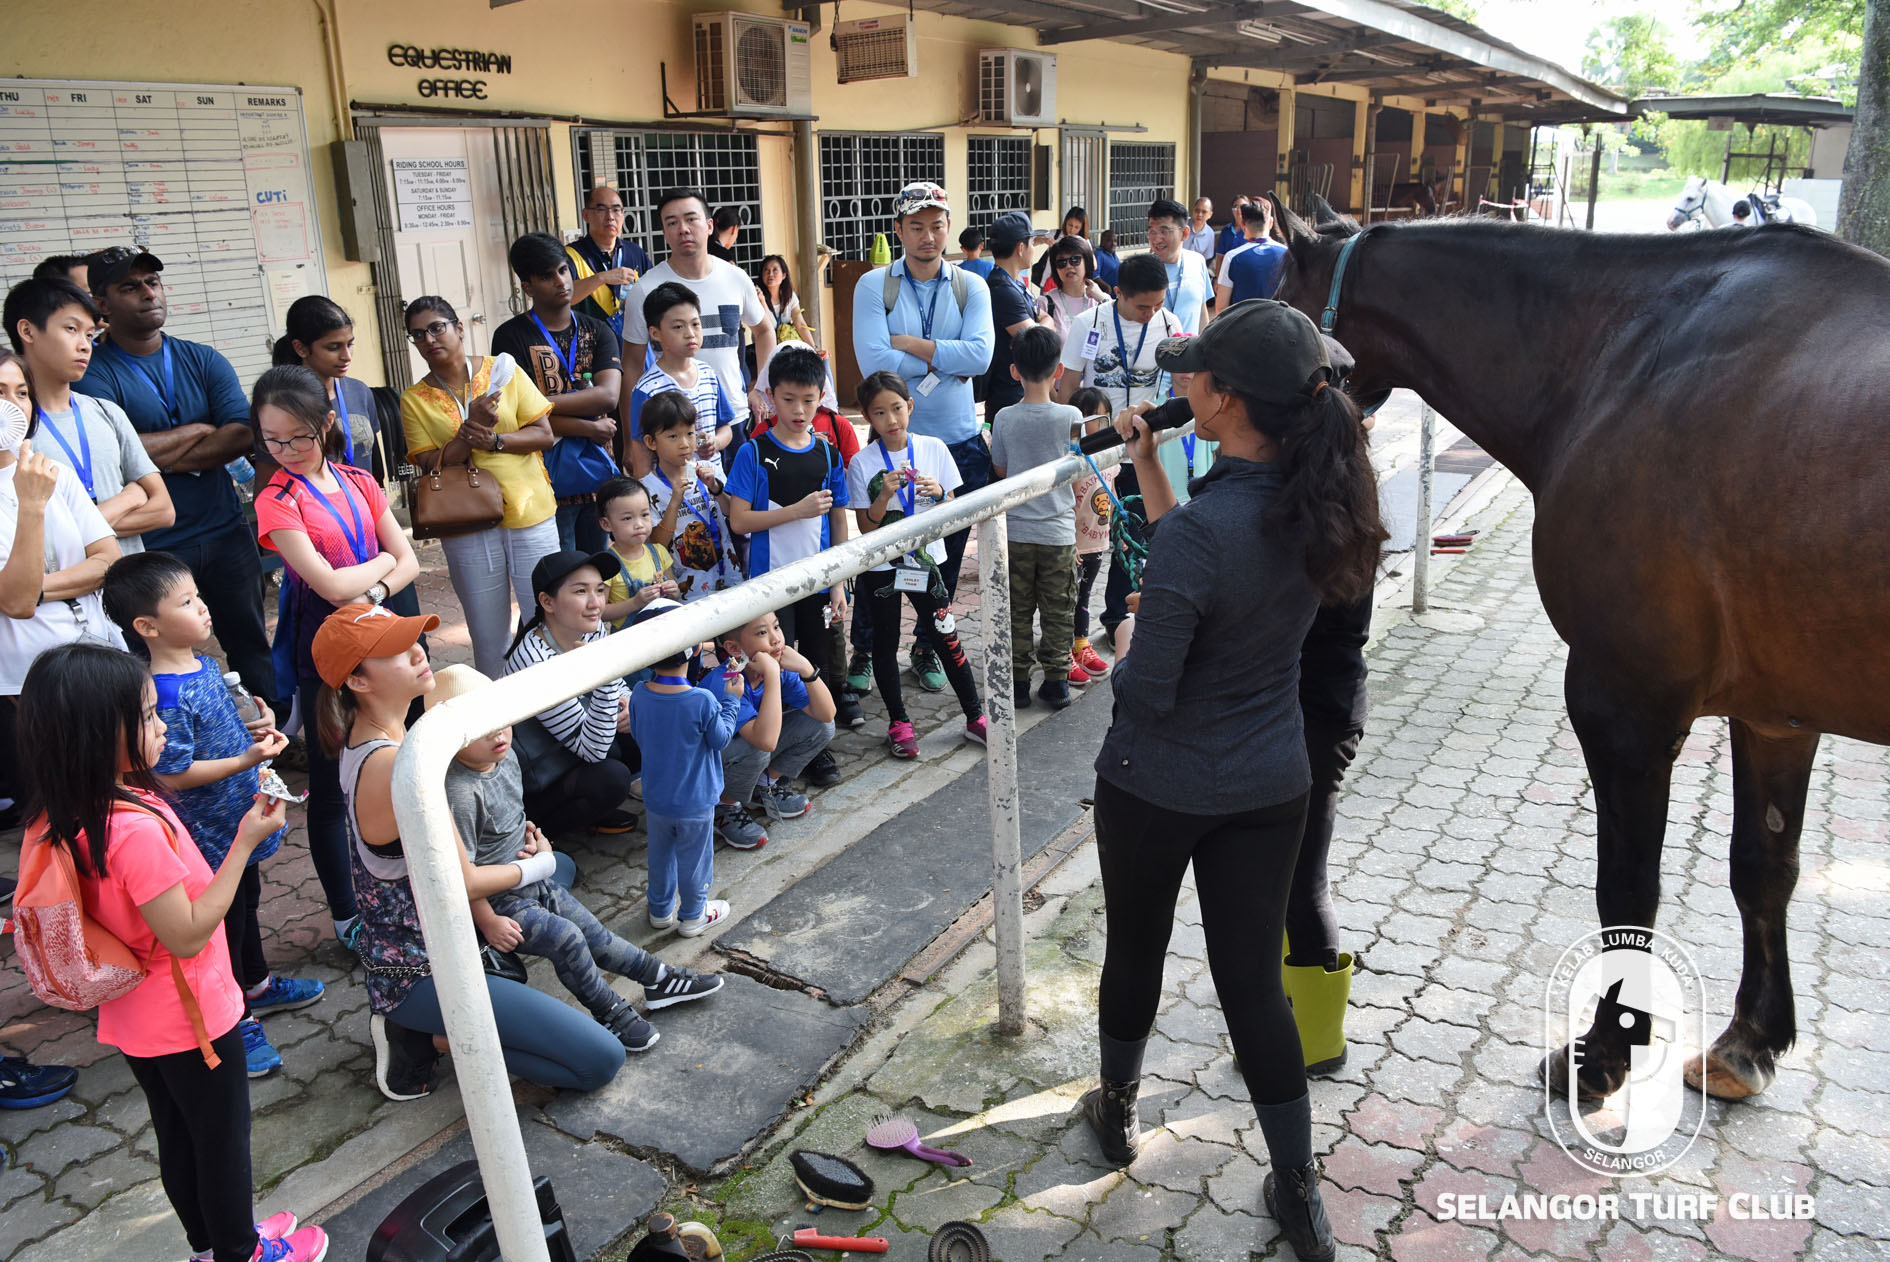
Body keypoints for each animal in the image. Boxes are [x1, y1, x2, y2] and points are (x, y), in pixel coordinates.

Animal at [1262, 192, 1890, 1095]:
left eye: (1272, 299)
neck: (1620, 354)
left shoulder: (1624, 703)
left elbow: (1626, 890)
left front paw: (1604, 1053)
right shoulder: (1776, 714)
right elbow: (1763, 870)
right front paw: (1748, 1041)